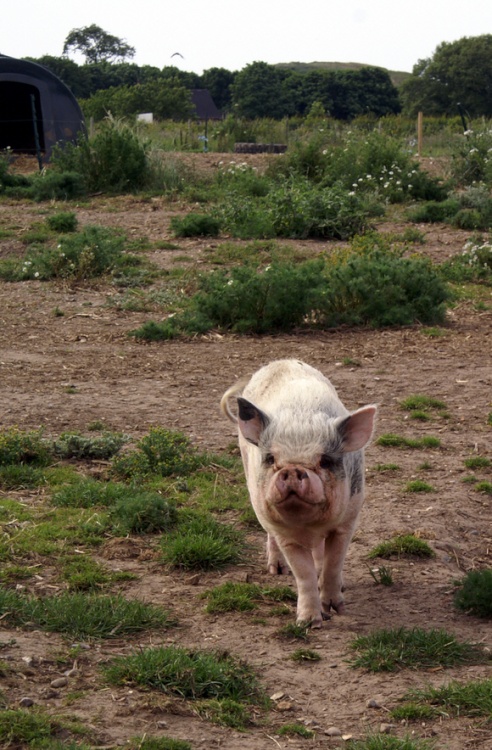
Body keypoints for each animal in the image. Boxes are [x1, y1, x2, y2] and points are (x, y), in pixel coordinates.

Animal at [221, 359, 376, 628]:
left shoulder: (347, 521)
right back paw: (277, 570)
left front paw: (337, 608)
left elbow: (334, 562)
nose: (293, 469)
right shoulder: (285, 534)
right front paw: (309, 623)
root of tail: (282, 361)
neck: (308, 525)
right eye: (270, 458)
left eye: (325, 461)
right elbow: (303, 574)